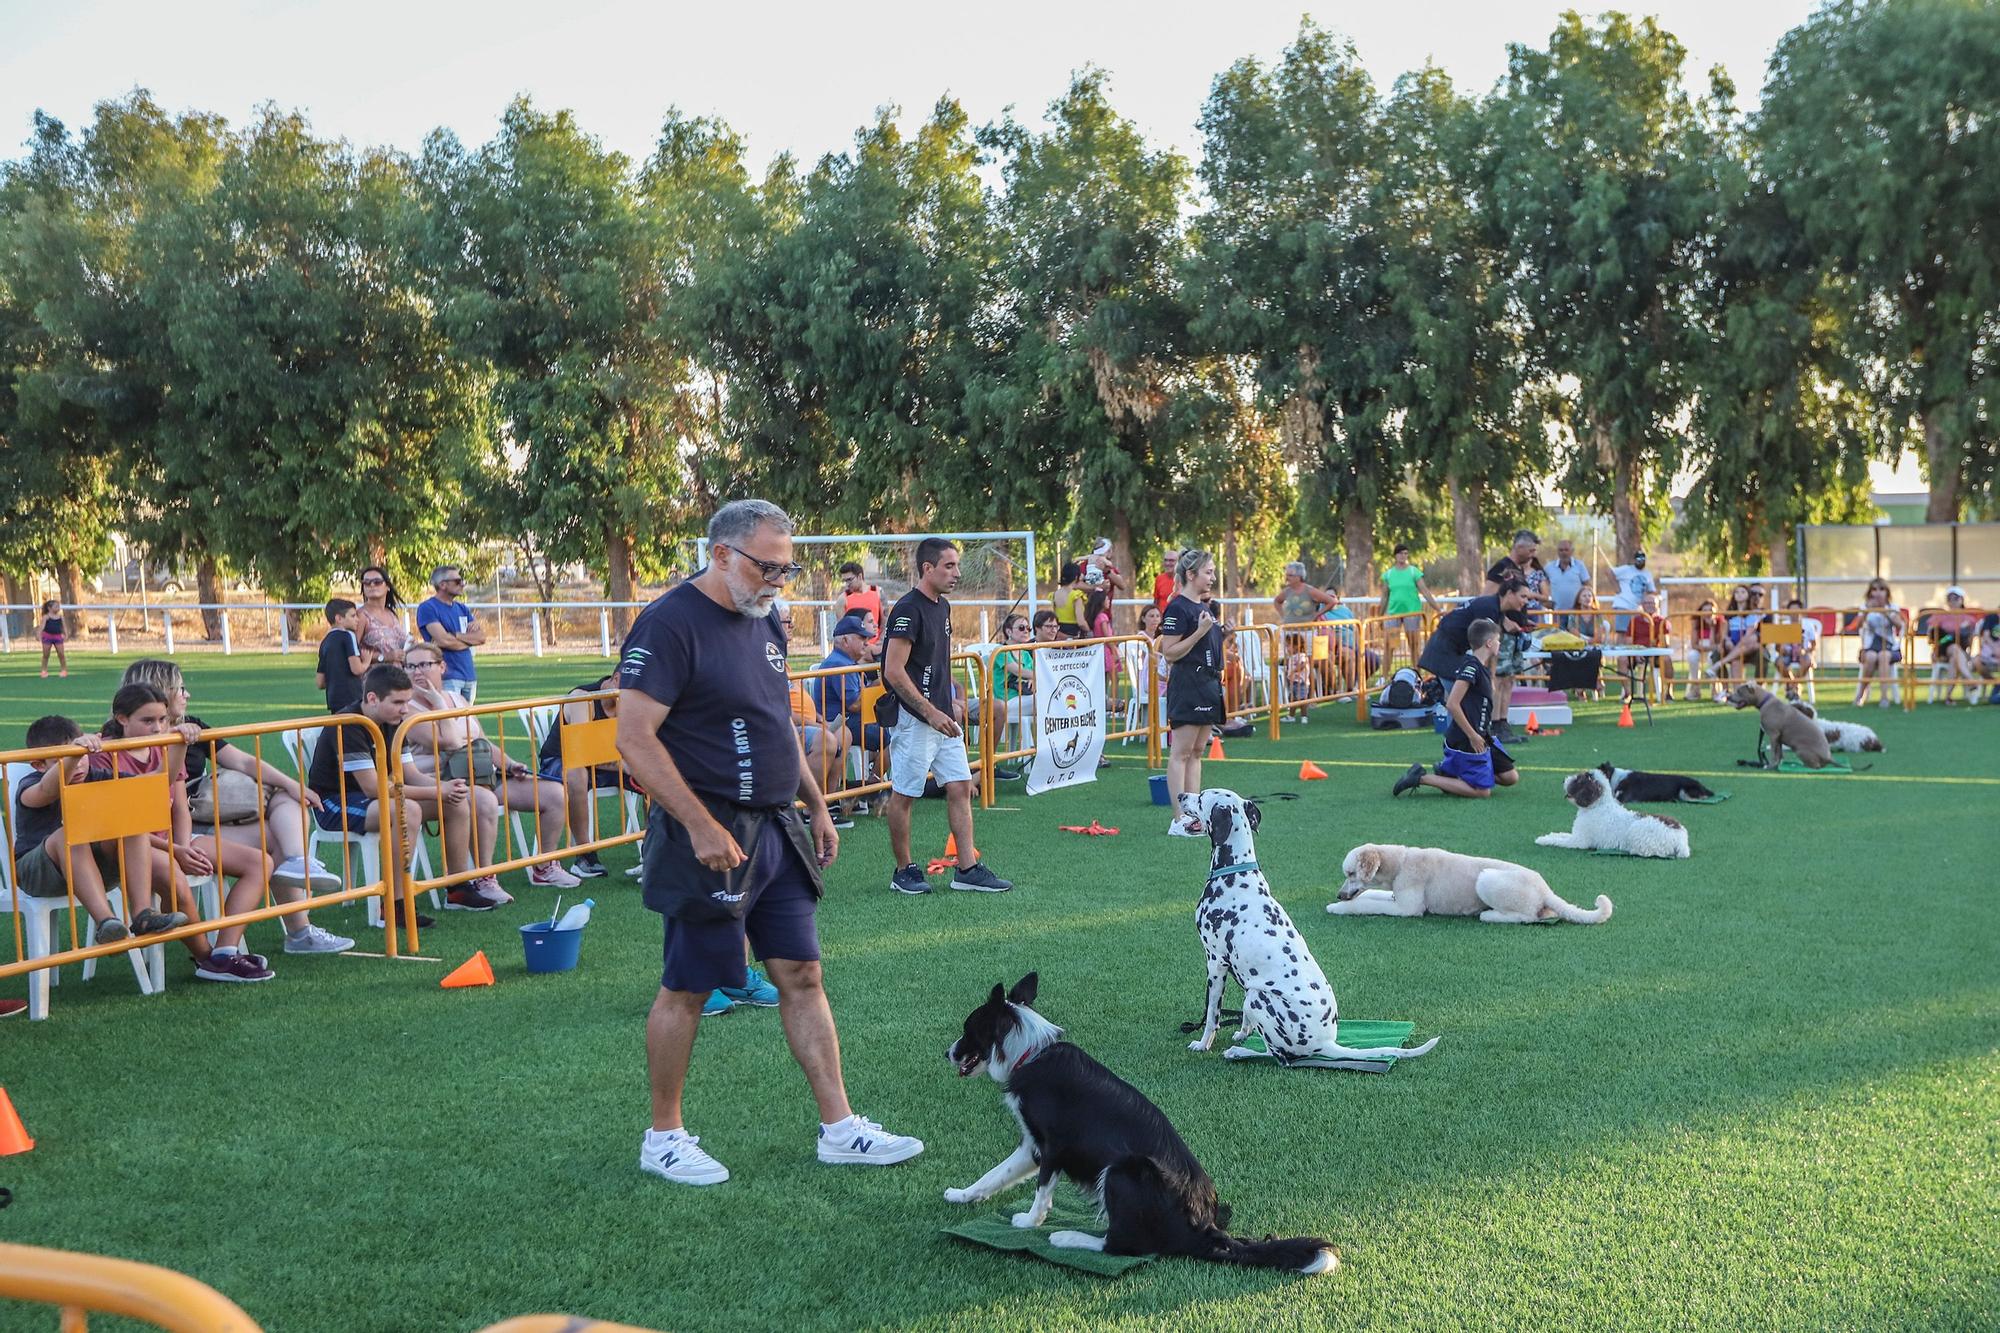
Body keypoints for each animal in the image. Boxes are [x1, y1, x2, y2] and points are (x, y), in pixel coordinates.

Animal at [944, 972, 1336, 1272]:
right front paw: (962, 1194)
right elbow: (994, 1175)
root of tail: (1202, 1227)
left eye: (967, 1030)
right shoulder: (1031, 1146)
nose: (947, 1053)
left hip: (1124, 1169)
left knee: (1123, 1246)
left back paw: (1068, 1237)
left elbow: (1041, 1194)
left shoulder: (1053, 1146)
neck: (1030, 1054)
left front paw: (1029, 1222)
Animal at [1184, 784, 1440, 1064]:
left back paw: (1239, 1053)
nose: (1180, 796)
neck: (1234, 873)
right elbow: (1243, 1020)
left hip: (1257, 997)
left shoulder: (1215, 962)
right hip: (1253, 993)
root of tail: (1325, 1043)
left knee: (1281, 1058)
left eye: (1201, 797)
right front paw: (1243, 1032)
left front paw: (1203, 1044)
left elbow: (1212, 1015)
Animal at [1328, 844, 1608, 920]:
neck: (1401, 863)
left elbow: (1366, 904)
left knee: (1528, 916)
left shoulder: (1408, 909)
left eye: (1350, 873)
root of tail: (1546, 889)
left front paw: (1339, 908)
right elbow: (1371, 896)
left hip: (1486, 879)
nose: (1340, 895)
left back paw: (1488, 915)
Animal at [1528, 768, 1688, 860]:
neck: (1596, 806)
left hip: (1637, 832)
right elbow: (1560, 834)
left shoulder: (1579, 841)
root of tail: (1682, 841)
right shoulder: (1576, 834)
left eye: (1578, 780)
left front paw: (1543, 840)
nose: (1563, 780)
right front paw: (1546, 836)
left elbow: (1558, 841)